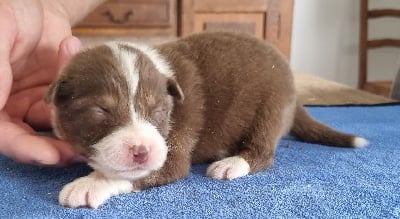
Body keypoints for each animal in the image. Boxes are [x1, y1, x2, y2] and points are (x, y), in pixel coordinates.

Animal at [45, 31, 368, 208]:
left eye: (158, 111)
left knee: (263, 150)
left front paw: (88, 185)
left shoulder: (171, 151)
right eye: (100, 111)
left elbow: (130, 174)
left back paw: (232, 163)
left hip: (271, 106)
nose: (142, 151)